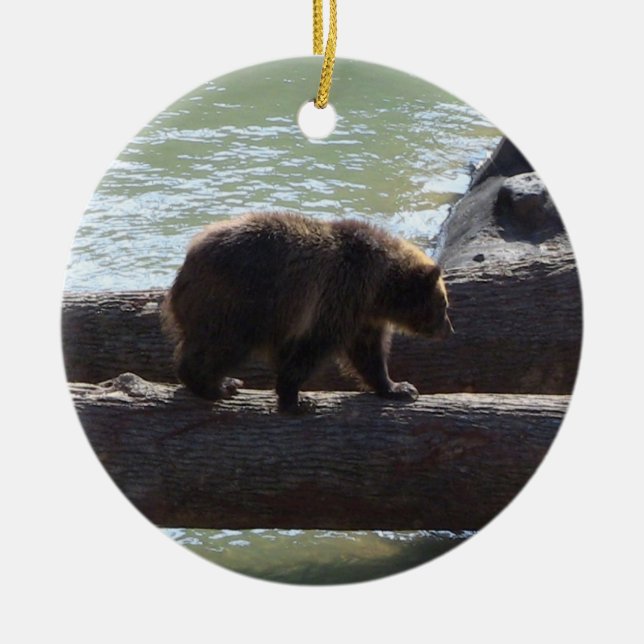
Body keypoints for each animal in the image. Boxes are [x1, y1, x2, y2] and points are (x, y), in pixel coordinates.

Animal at [161, 211, 453, 413]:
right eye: (443, 304)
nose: (448, 329)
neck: (378, 287)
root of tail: (186, 265)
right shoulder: (338, 295)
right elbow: (313, 348)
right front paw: (297, 400)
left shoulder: (360, 314)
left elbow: (368, 353)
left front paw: (398, 387)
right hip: (238, 303)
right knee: (221, 347)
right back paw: (217, 385)